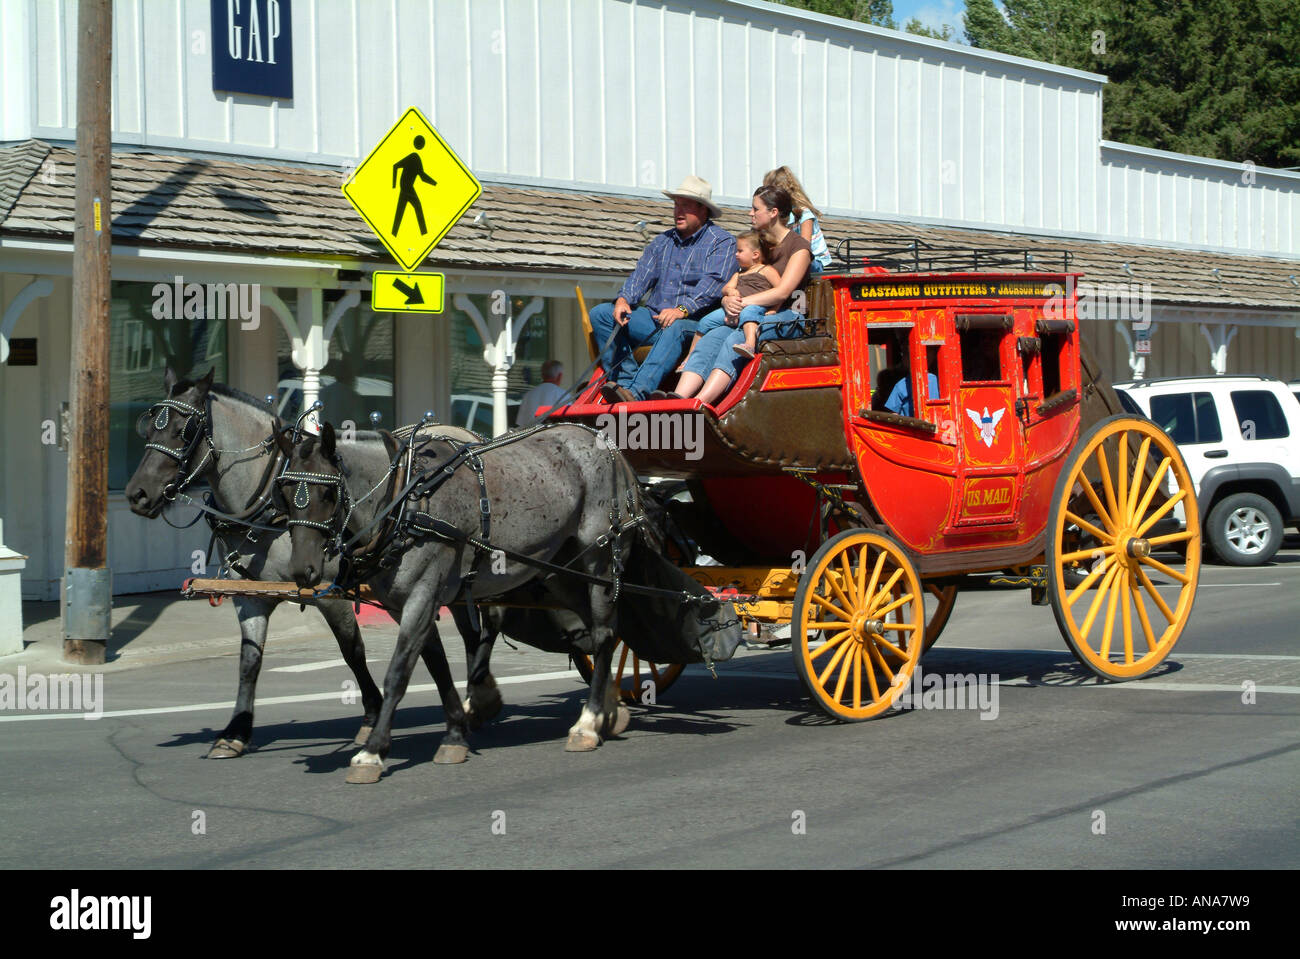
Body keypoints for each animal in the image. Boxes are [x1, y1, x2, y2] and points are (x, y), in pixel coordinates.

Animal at [122, 369, 496, 758]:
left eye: (185, 430)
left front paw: (370, 717)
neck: (269, 499)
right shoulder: (250, 596)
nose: (137, 494)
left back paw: (478, 698)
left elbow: (353, 650)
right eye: (148, 428)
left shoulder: (329, 593)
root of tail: (467, 436)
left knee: (476, 628)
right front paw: (236, 730)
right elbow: (249, 660)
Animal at [279, 421, 639, 779]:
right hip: (559, 572)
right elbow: (437, 666)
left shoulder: (423, 594)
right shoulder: (404, 605)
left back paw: (589, 723)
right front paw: (455, 733)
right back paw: (611, 708)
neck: (407, 501)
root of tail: (605, 444)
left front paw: (373, 751)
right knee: (596, 630)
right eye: (284, 493)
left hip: (599, 561)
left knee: (603, 633)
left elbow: (398, 672)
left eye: (329, 493)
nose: (302, 570)